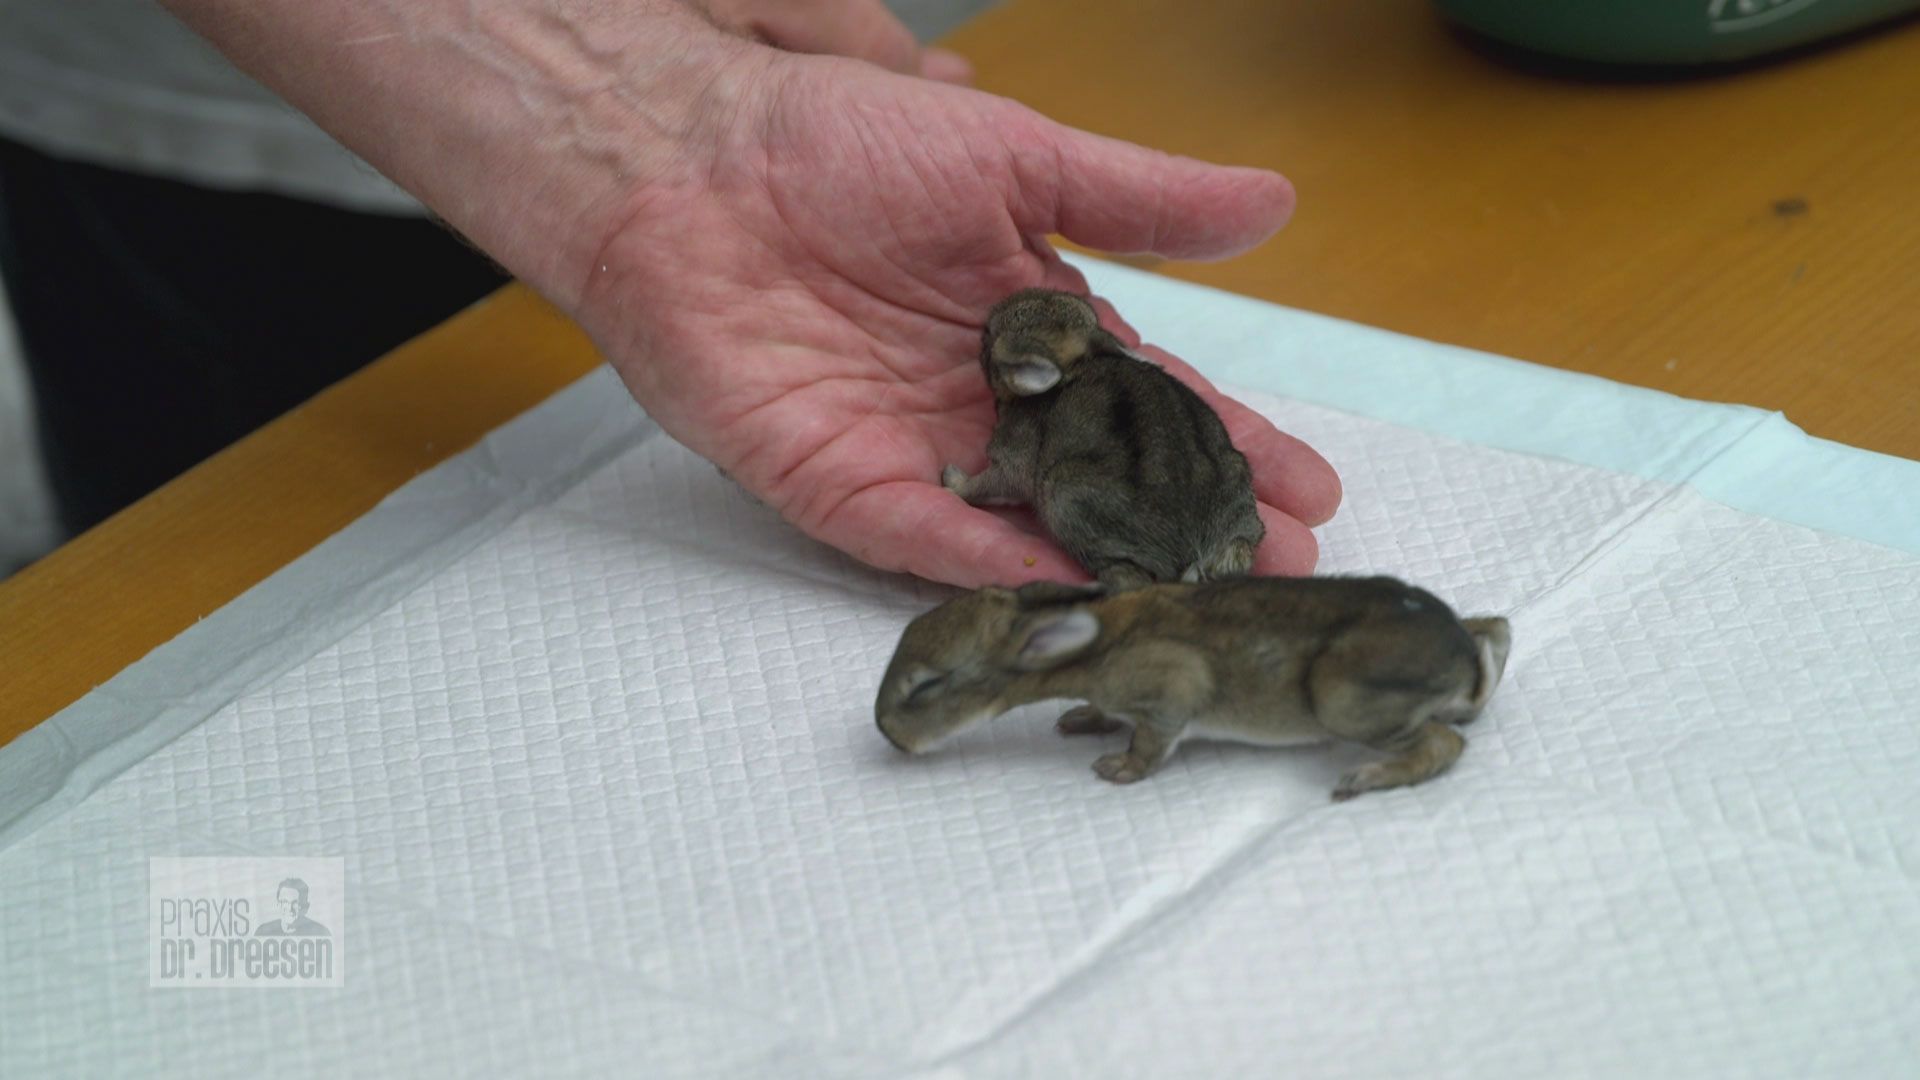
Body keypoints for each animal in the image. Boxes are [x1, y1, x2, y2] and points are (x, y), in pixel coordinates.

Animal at [874, 576, 1512, 801]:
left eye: (926, 685)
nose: (886, 734)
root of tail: (1462, 662)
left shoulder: (1168, 692)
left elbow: (1152, 741)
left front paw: (1117, 769)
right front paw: (1081, 720)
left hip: (1343, 701)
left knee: (1445, 744)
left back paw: (1364, 780)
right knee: (1496, 634)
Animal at [940, 288, 1265, 590]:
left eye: (988, 333)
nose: (979, 341)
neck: (1077, 363)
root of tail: (1189, 552)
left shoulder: (1012, 460)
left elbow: (991, 484)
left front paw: (953, 482)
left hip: (1063, 494)